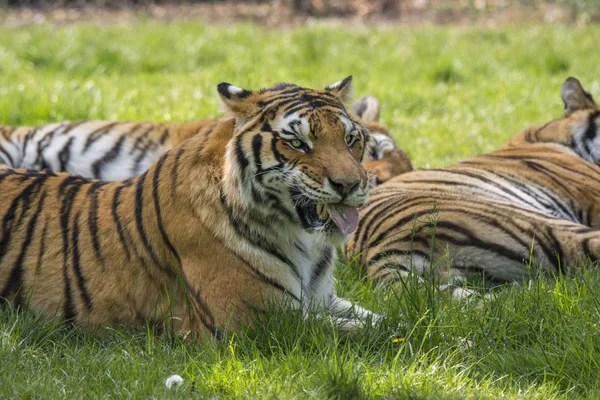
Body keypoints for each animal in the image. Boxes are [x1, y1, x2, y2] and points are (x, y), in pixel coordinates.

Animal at [0, 77, 380, 338]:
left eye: (350, 139)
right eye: (298, 143)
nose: (350, 185)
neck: (303, 241)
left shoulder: (322, 300)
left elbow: (381, 315)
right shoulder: (253, 321)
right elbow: (367, 332)